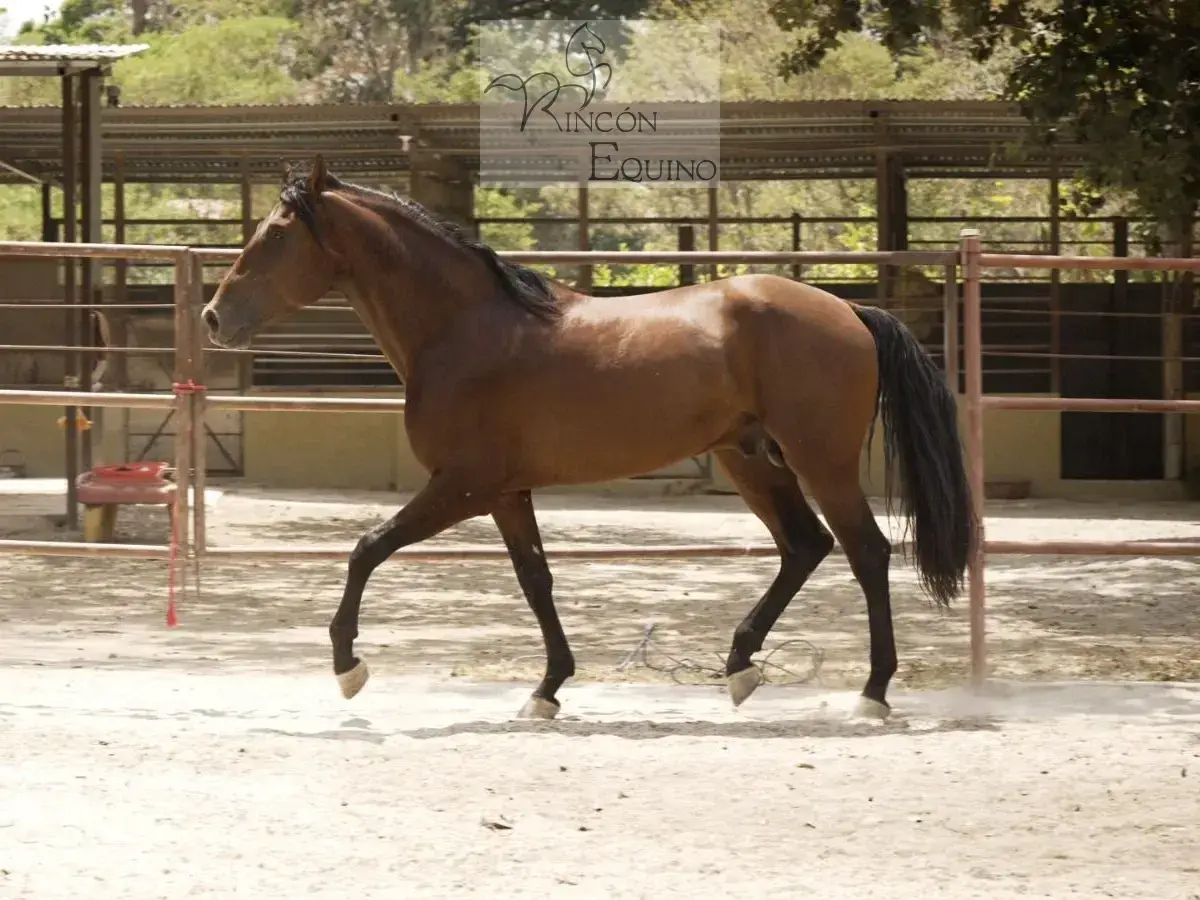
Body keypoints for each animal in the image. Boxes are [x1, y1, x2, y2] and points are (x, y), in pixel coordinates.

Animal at [202, 156, 977, 721]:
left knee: (865, 552)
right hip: (750, 459)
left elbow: (366, 548)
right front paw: (546, 691)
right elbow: (536, 580)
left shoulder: (461, 486)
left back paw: (871, 694)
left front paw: (349, 668)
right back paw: (739, 670)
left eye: (276, 235)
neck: (463, 328)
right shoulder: (505, 492)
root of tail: (848, 309)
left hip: (821, 460)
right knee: (805, 546)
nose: (213, 315)